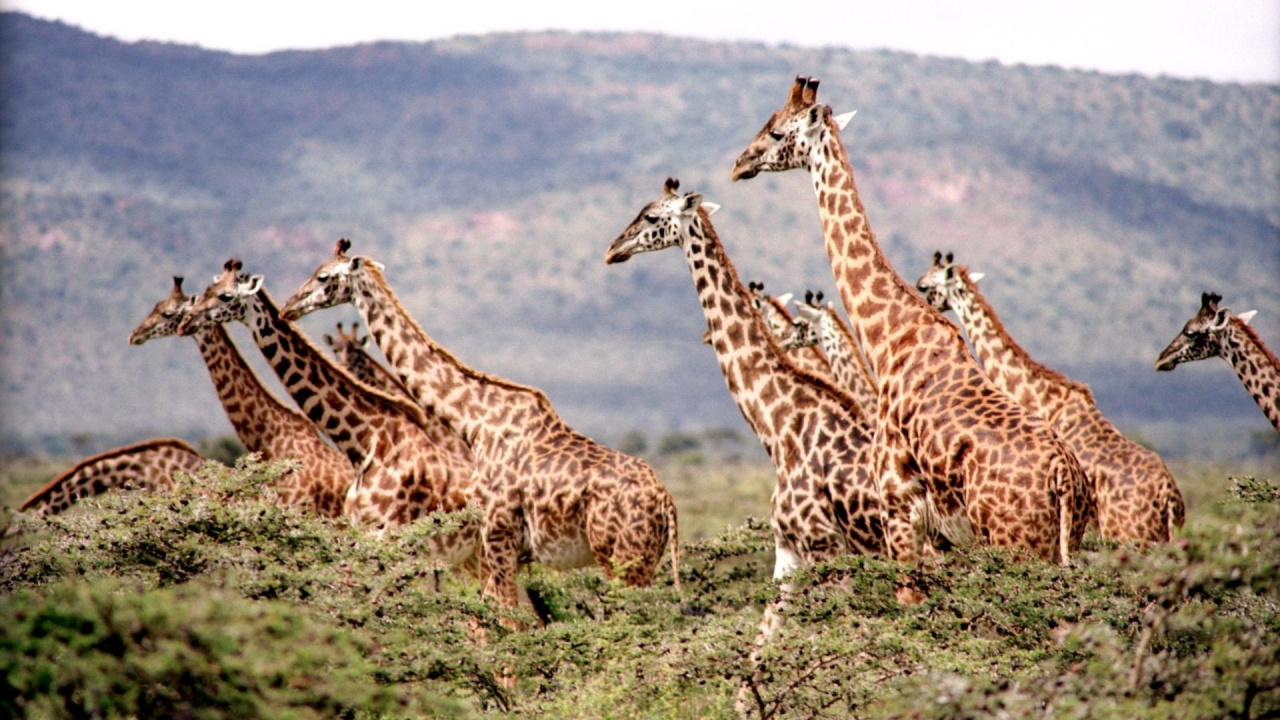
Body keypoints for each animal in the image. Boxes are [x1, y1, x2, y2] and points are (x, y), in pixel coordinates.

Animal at [279, 239, 681, 629]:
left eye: (324, 276)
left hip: (620, 559)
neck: (475, 422)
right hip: (641, 561)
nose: (288, 307)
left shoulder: (498, 536)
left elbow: (507, 624)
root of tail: (666, 503)